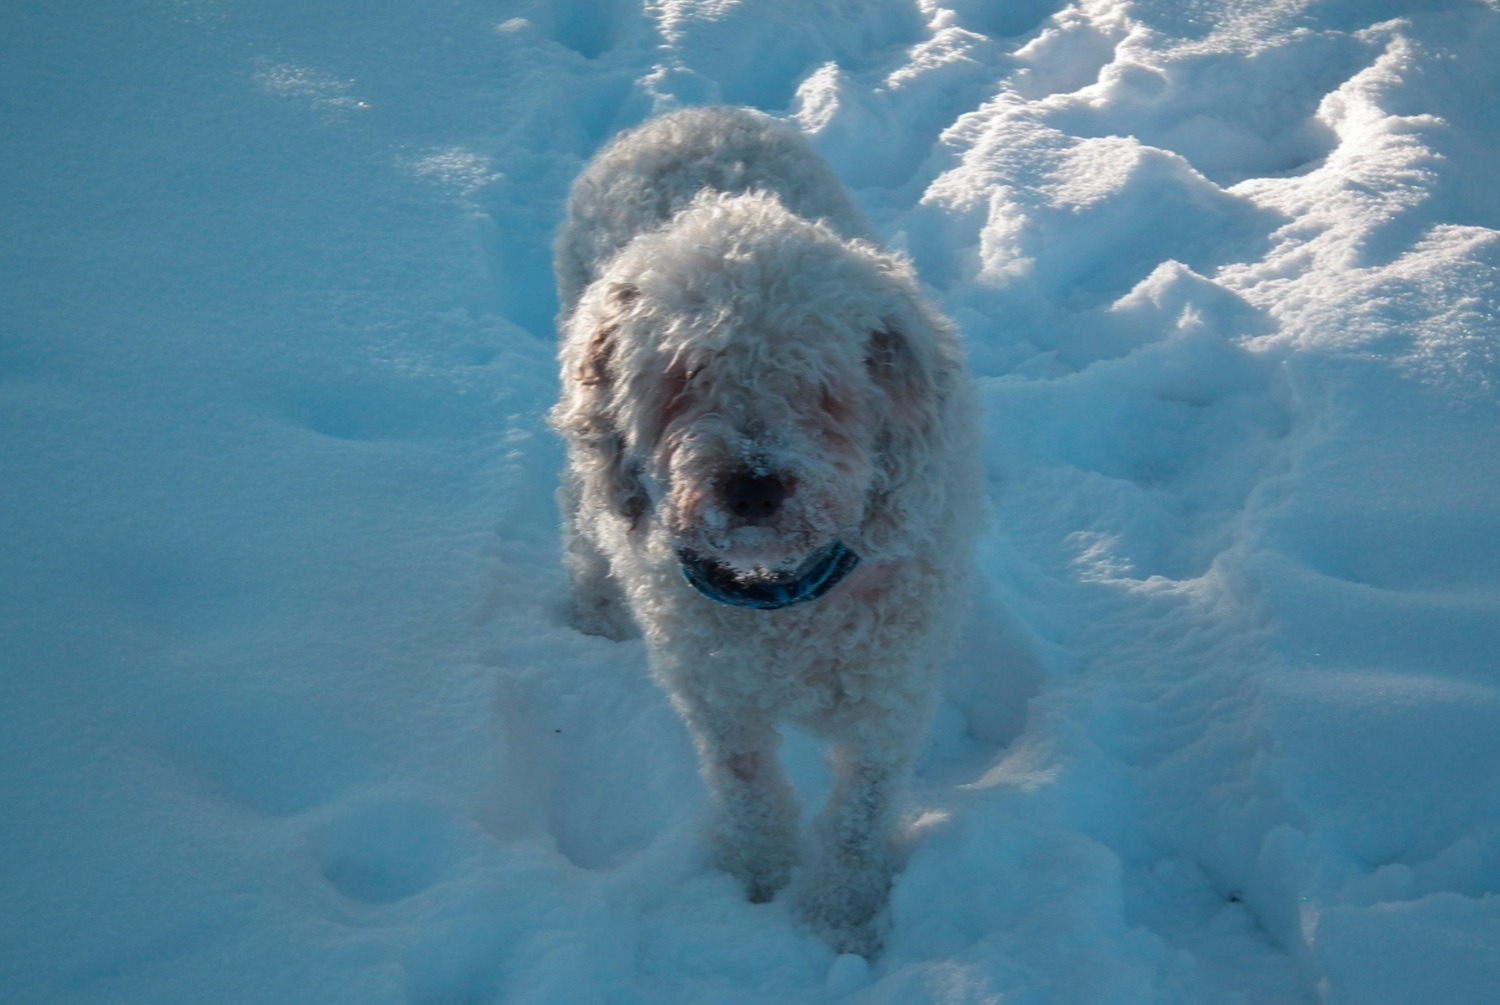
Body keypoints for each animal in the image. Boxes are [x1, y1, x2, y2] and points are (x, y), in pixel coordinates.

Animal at [552, 106, 984, 954]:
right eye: (683, 375)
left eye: (822, 384)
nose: (752, 484)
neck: (780, 598)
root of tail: (686, 116)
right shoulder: (717, 697)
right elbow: (746, 787)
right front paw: (758, 881)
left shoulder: (890, 699)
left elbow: (857, 815)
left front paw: (840, 918)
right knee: (582, 506)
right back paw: (592, 606)